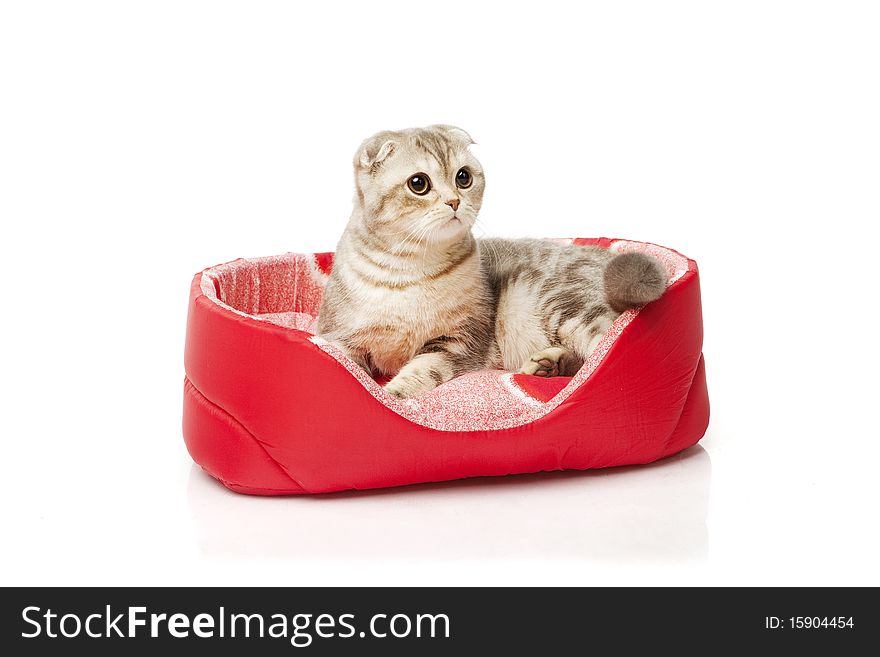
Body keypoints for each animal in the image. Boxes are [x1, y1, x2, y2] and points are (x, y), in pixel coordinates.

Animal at [312, 125, 664, 398]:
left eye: (463, 177)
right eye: (418, 183)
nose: (454, 201)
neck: (408, 269)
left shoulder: (458, 341)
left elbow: (423, 369)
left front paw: (394, 394)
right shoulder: (339, 336)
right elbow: (342, 361)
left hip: (563, 305)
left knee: (602, 352)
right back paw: (550, 365)